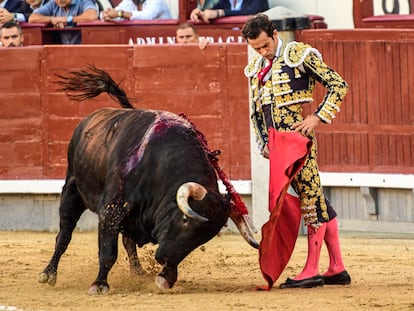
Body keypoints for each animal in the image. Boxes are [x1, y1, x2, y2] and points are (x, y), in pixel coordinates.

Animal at [38, 66, 258, 294]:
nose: (162, 258)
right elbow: (108, 251)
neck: (160, 164)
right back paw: (49, 273)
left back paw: (138, 272)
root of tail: (88, 120)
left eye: (203, 237)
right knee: (64, 234)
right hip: (72, 189)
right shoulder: (111, 210)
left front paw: (165, 277)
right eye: (185, 219)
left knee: (128, 241)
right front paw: (99, 285)